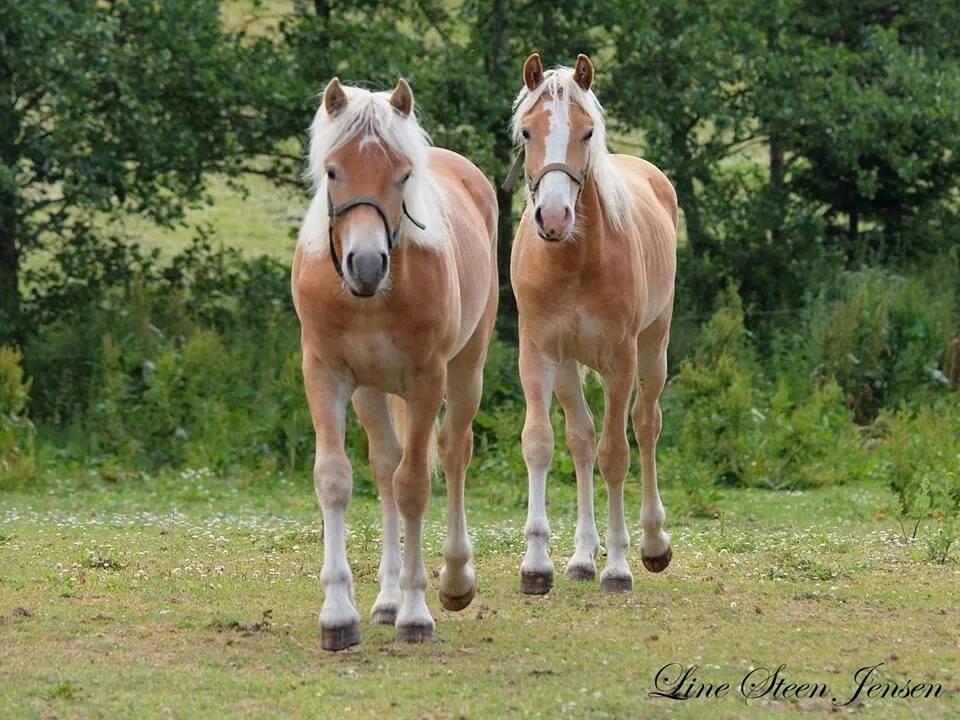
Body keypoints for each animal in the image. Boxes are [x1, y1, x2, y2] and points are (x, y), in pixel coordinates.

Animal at [292, 77, 498, 648]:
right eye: (332, 171)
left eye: (403, 175)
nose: (365, 264)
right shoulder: (326, 375)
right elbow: (337, 479)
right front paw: (339, 615)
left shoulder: (426, 381)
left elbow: (414, 486)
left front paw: (416, 612)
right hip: (370, 392)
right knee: (385, 464)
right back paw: (384, 600)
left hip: (466, 369)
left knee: (452, 453)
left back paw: (453, 580)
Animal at [506, 54, 680, 596]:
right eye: (527, 132)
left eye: (587, 133)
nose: (554, 217)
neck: (573, 260)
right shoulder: (539, 355)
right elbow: (541, 444)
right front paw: (536, 564)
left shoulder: (620, 360)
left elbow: (616, 455)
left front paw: (619, 567)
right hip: (568, 368)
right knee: (581, 440)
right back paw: (583, 556)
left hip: (653, 348)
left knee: (645, 426)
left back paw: (651, 544)